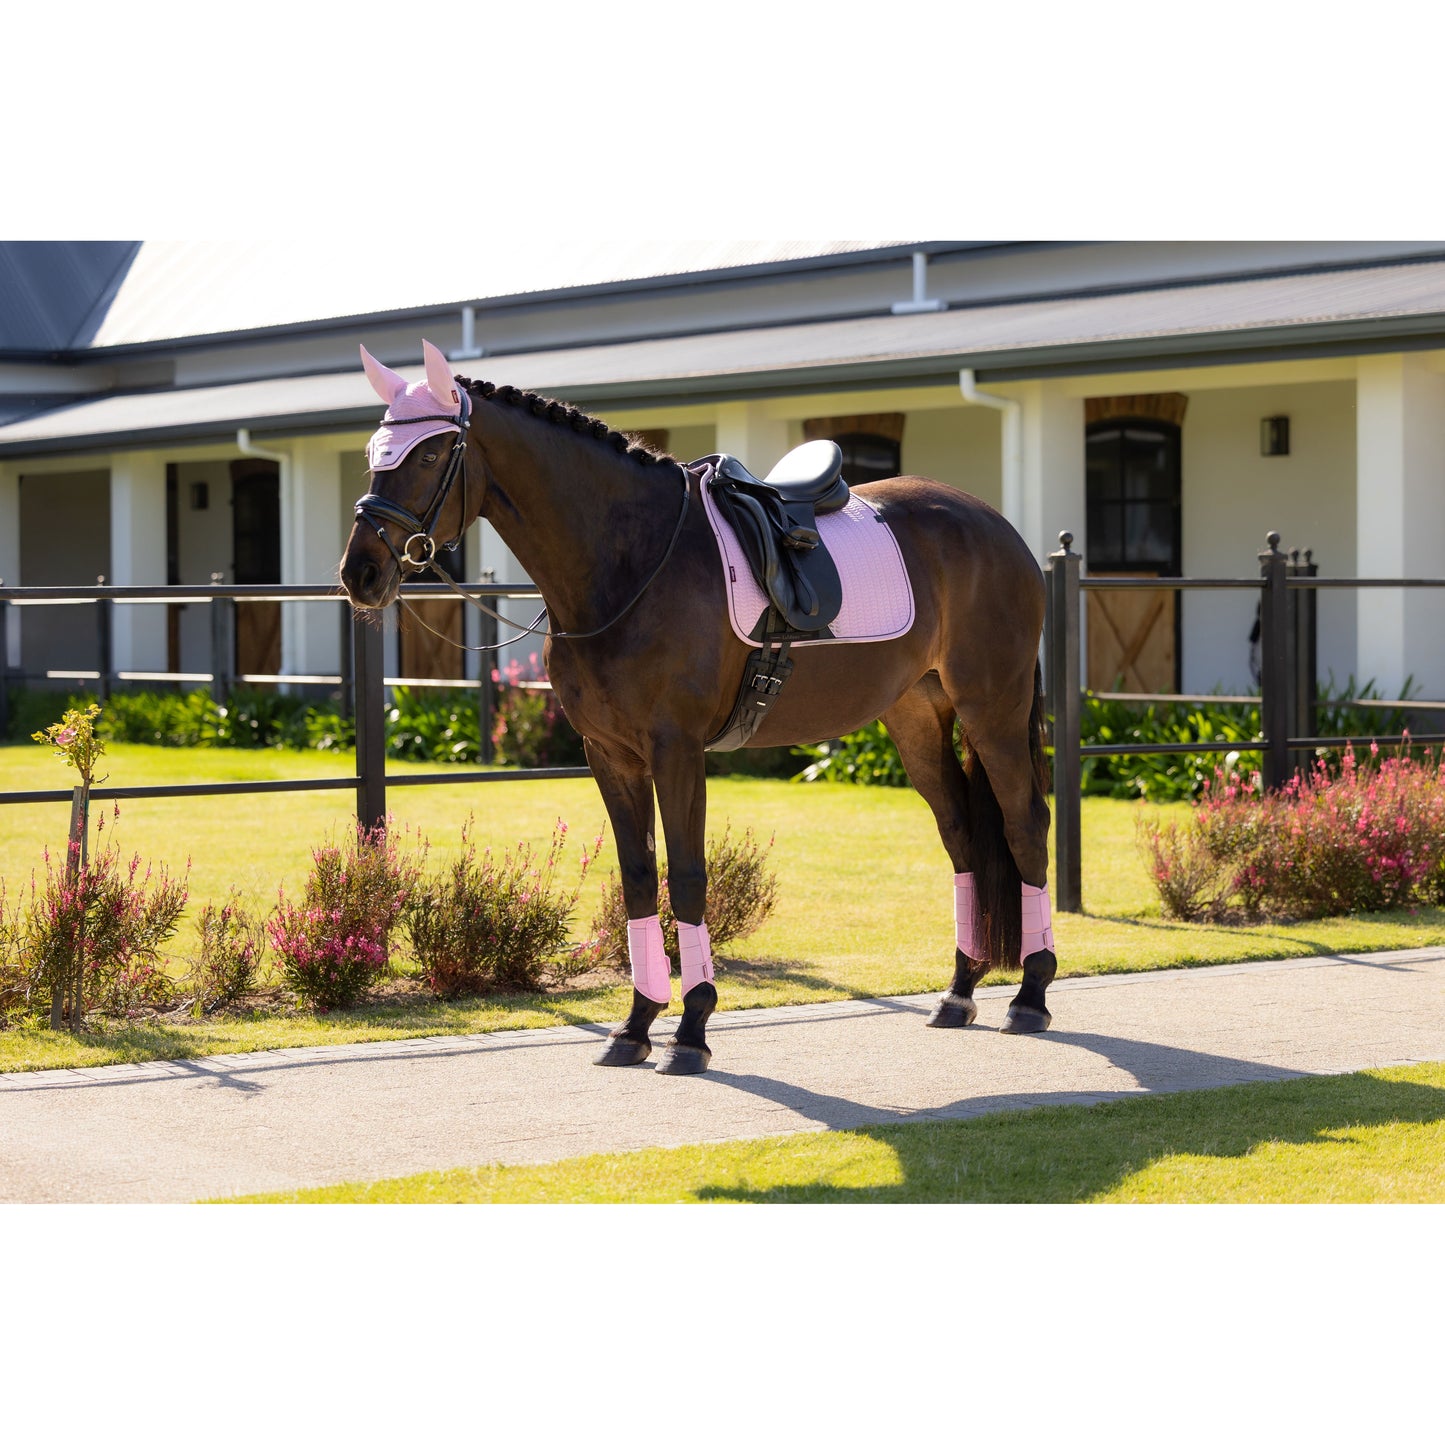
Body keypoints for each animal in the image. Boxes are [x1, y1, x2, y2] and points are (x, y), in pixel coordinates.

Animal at [339, 340, 1057, 1075]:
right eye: (374, 453)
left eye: (429, 454)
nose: (359, 573)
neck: (629, 562)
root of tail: (997, 528)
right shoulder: (610, 754)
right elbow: (636, 877)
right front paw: (634, 1025)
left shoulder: (676, 750)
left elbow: (685, 876)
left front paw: (690, 1029)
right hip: (915, 716)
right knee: (962, 833)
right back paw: (960, 990)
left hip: (993, 710)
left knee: (1025, 824)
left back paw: (1030, 993)